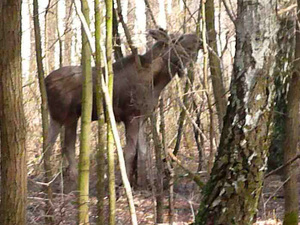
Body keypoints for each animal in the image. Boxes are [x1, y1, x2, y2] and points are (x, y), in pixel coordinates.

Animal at [45, 28, 202, 186]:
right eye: (177, 39)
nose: (198, 39)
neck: (157, 81)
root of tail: (45, 81)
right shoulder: (131, 116)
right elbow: (130, 153)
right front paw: (125, 184)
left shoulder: (142, 117)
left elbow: (143, 152)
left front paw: (143, 184)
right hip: (70, 116)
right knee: (68, 146)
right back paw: (73, 181)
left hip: (56, 117)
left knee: (48, 146)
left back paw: (48, 180)